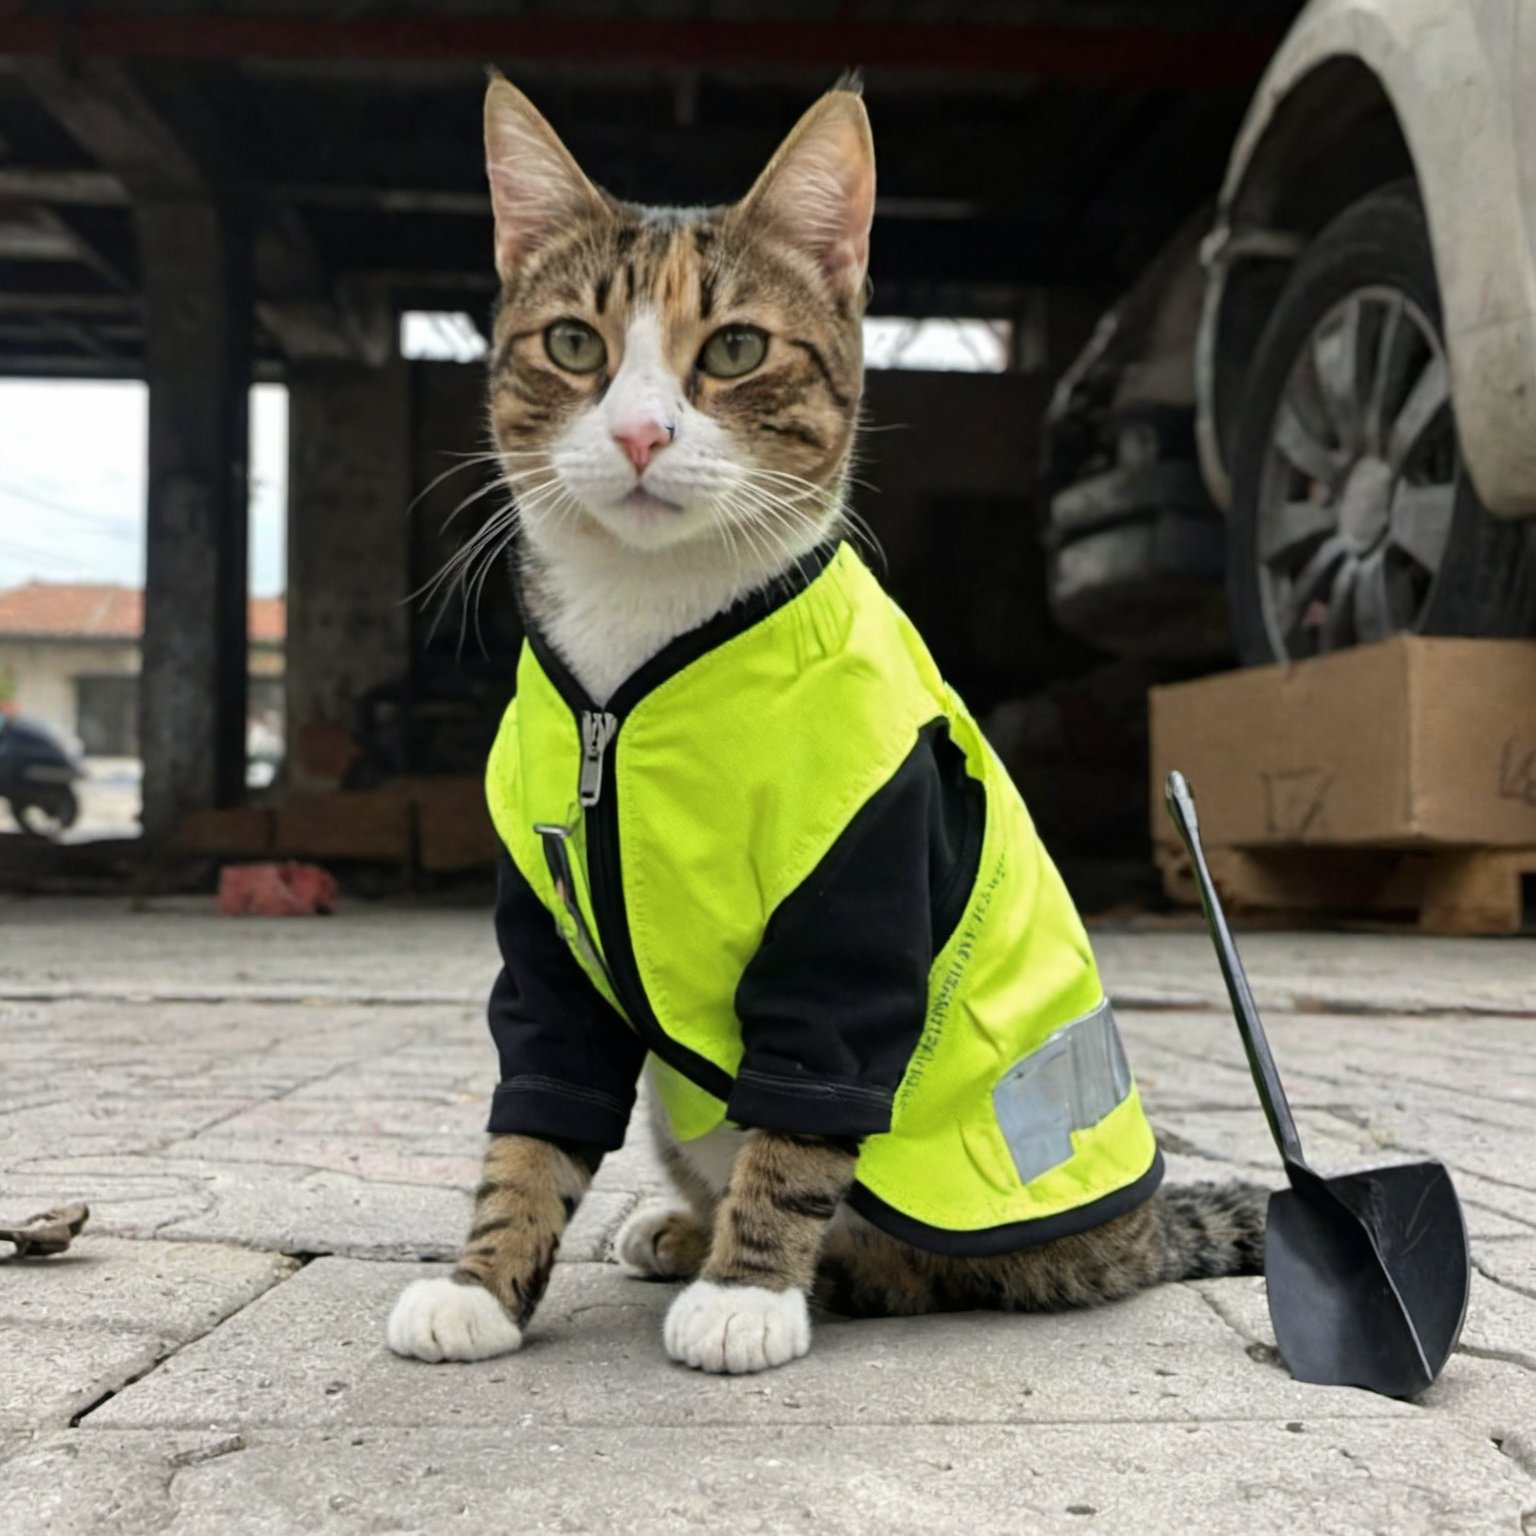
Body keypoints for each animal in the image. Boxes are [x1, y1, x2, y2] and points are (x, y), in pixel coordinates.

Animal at [384, 77, 1259, 1376]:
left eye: (737, 348)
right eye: (575, 344)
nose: (640, 435)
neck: (639, 660)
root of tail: (1141, 1236)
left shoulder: (857, 890)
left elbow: (806, 1108)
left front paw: (749, 1291)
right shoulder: (550, 928)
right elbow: (535, 1112)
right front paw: (482, 1283)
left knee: (948, 1267)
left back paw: (814, 1265)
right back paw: (678, 1229)